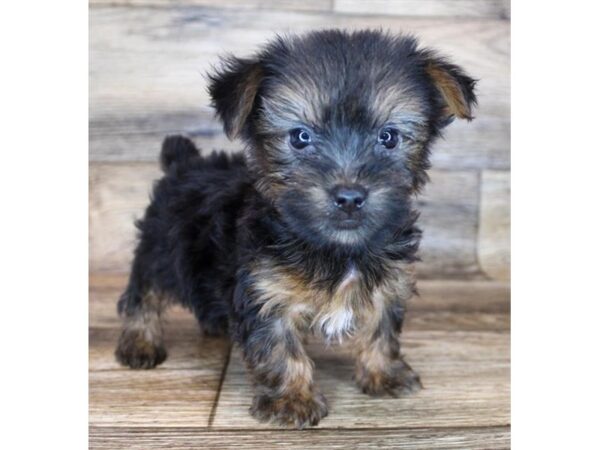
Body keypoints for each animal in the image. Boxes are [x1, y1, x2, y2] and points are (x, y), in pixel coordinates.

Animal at [115, 29, 476, 428]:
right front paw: (291, 401)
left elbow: (382, 330)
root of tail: (184, 163)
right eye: (300, 137)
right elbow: (281, 350)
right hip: (160, 249)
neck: (337, 249)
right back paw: (139, 343)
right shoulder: (266, 293)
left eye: (389, 137)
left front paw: (384, 374)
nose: (349, 197)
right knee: (143, 294)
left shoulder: (388, 285)